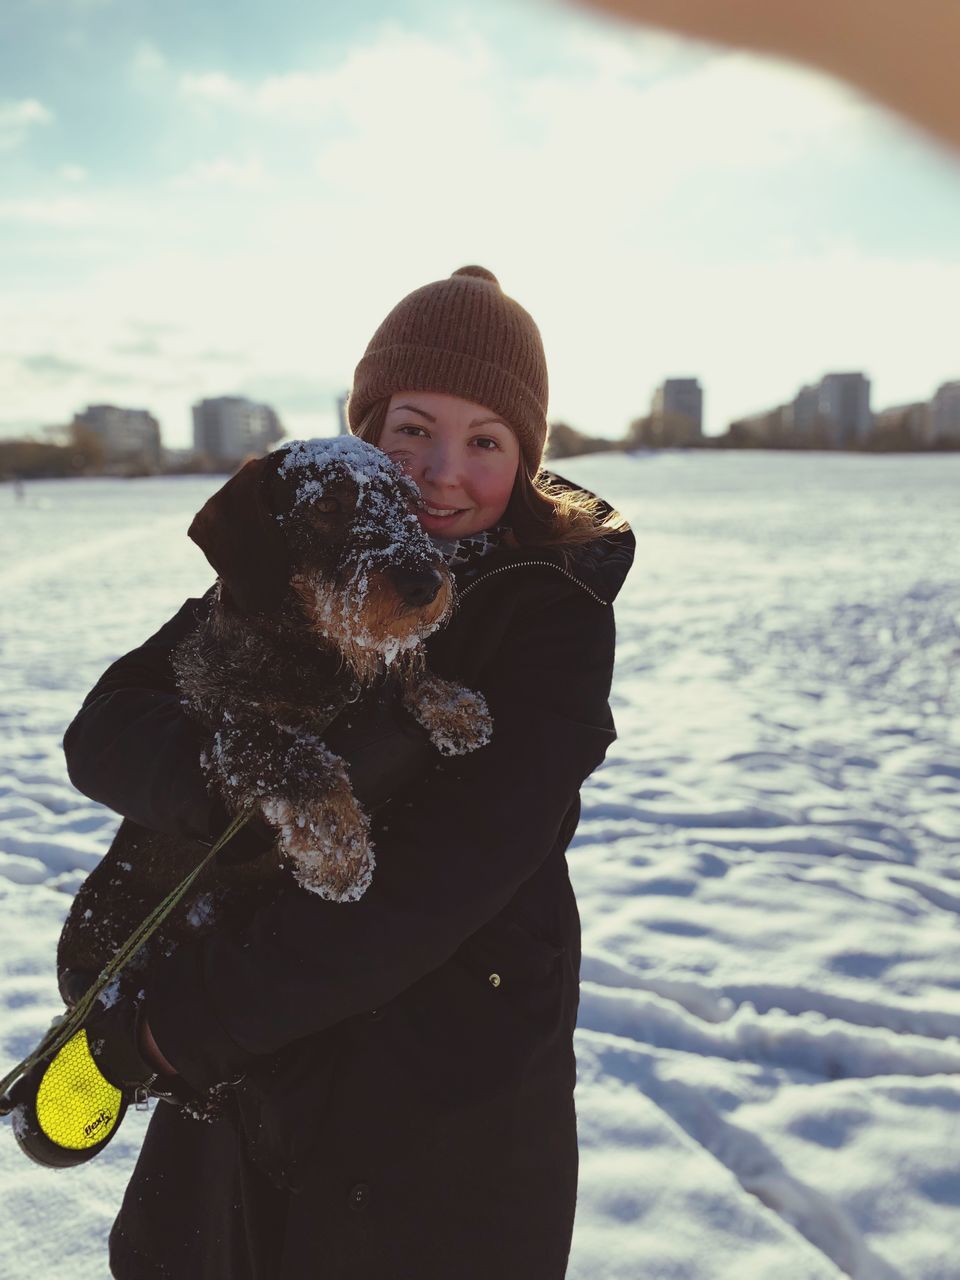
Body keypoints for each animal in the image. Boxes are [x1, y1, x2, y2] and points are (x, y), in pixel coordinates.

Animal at [58, 440, 496, 998]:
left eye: (405, 501)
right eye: (327, 504)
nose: (426, 583)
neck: (302, 645)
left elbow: (397, 666)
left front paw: (452, 705)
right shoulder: (228, 734)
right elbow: (299, 758)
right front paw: (339, 854)